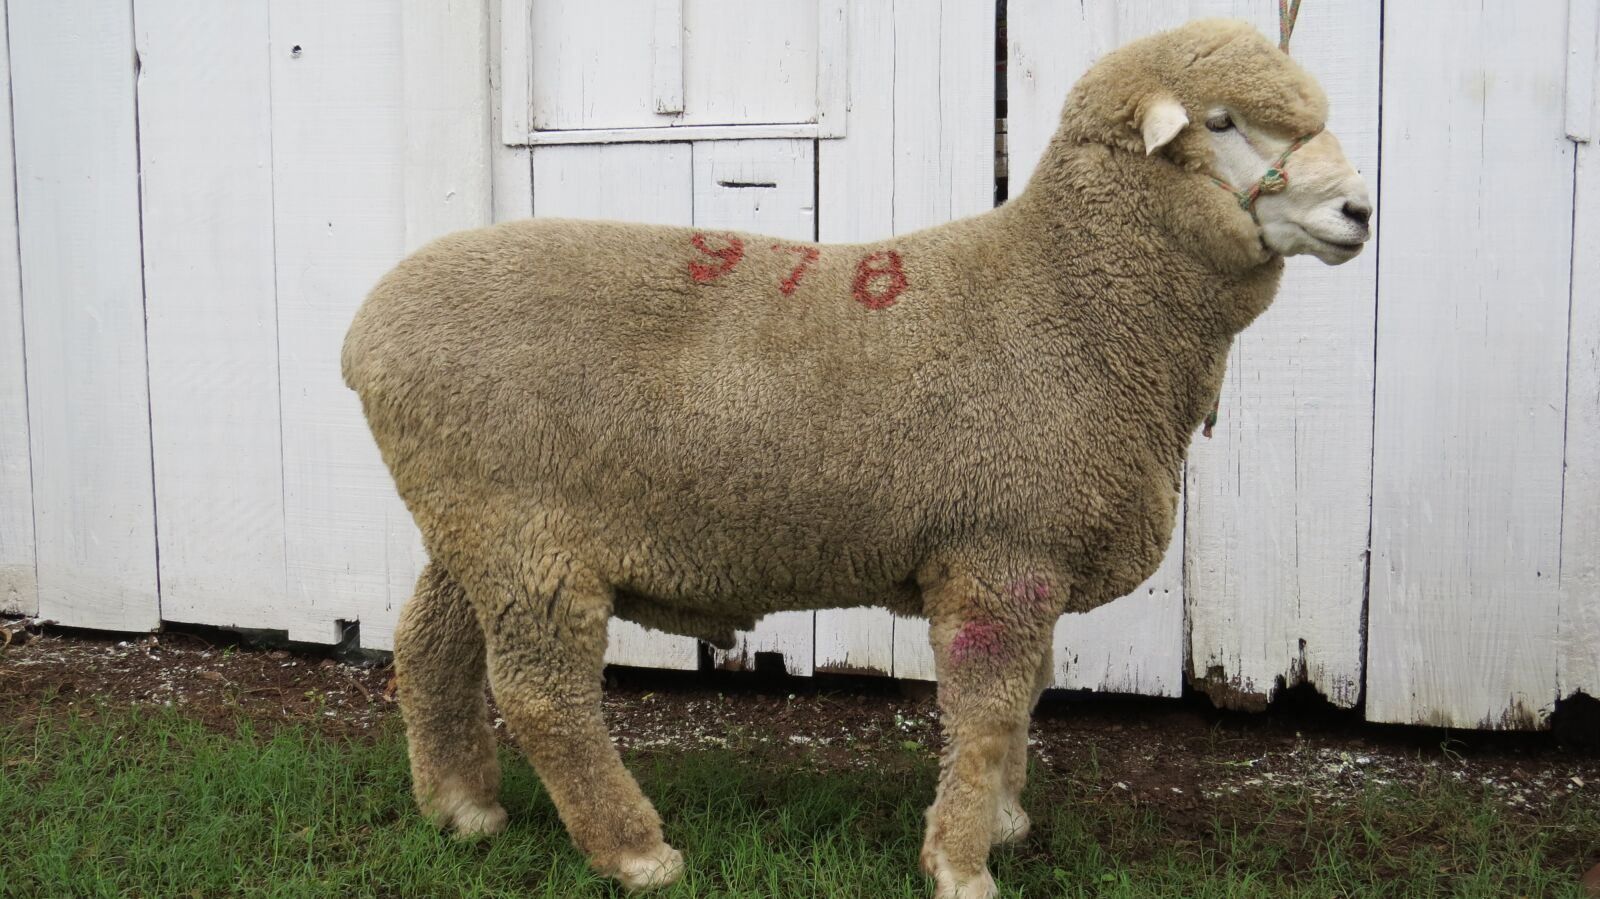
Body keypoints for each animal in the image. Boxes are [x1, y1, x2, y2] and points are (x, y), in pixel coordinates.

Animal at [342, 17, 1371, 899]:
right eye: (1222, 122)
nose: (1361, 209)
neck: (1070, 301)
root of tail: (365, 333)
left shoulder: (1023, 562)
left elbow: (1025, 699)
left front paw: (1002, 822)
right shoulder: (999, 556)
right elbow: (989, 711)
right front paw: (962, 863)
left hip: (475, 521)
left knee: (430, 645)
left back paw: (463, 811)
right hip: (524, 531)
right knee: (542, 691)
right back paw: (635, 852)